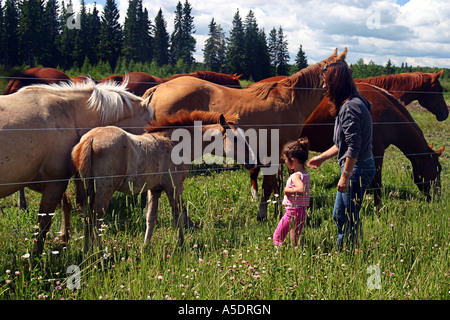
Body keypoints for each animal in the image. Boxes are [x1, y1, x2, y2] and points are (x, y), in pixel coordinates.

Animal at [0, 80, 155, 252]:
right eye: (146, 126)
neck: (67, 113)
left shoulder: (39, 181)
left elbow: (65, 205)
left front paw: (63, 238)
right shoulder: (54, 183)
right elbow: (44, 224)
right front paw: (38, 254)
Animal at [70, 111, 255, 251]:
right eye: (236, 139)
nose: (252, 162)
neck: (174, 144)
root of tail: (91, 139)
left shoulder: (155, 189)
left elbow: (151, 218)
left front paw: (145, 246)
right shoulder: (174, 187)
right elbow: (178, 216)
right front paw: (182, 244)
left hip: (90, 192)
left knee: (88, 219)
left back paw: (87, 252)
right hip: (104, 191)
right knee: (95, 219)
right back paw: (99, 252)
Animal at [142, 48, 350, 221]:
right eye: (345, 70)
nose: (351, 92)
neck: (292, 100)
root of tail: (157, 88)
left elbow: (277, 184)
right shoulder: (274, 153)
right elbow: (269, 185)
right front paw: (262, 213)